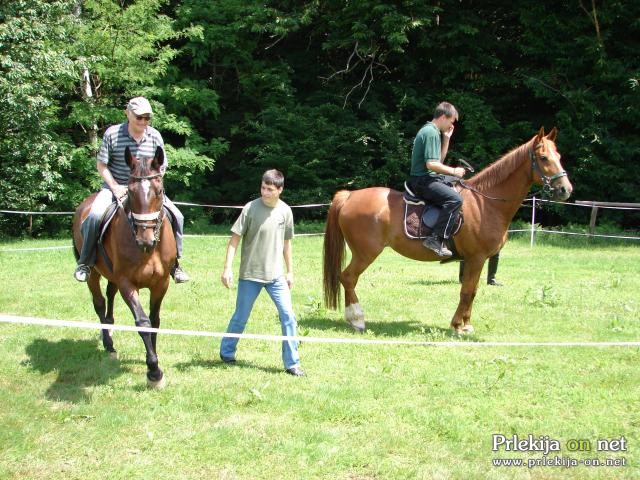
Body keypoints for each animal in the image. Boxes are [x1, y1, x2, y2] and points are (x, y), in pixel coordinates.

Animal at [72, 145, 175, 386]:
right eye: (131, 191)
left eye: (159, 191)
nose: (145, 240)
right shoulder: (128, 283)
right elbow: (143, 322)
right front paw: (154, 371)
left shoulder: (161, 283)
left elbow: (155, 320)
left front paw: (154, 360)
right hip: (93, 274)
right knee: (99, 303)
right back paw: (108, 344)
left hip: (112, 276)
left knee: (110, 294)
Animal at [322, 127, 572, 334]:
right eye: (543, 158)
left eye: (559, 157)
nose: (565, 189)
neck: (486, 203)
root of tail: (349, 196)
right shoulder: (476, 258)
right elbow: (467, 292)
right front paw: (458, 326)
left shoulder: (475, 260)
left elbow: (473, 291)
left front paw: (466, 324)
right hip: (366, 253)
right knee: (348, 278)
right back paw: (357, 319)